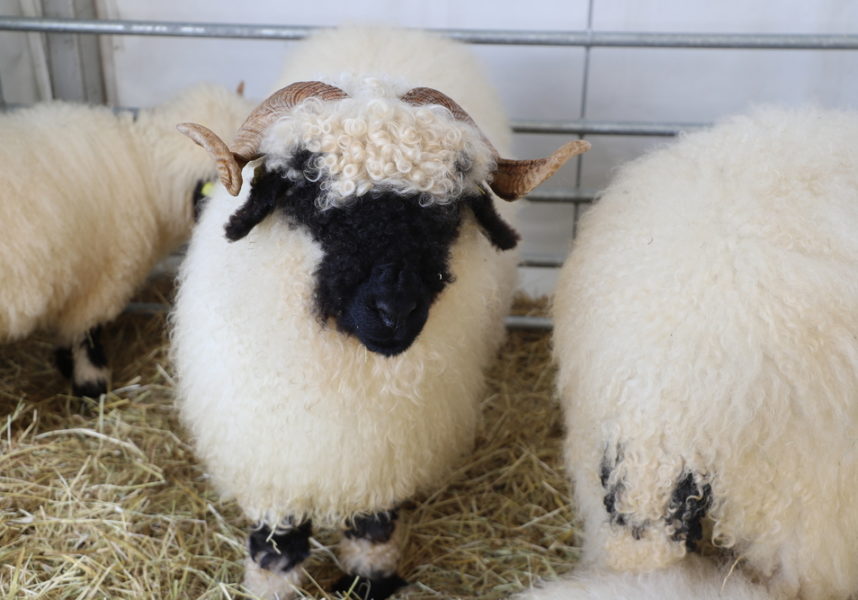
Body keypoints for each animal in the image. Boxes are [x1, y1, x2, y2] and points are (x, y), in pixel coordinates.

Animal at [174, 25, 588, 600]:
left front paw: (370, 579)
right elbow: (279, 543)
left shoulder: (385, 452)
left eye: (446, 210)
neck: (352, 374)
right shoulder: (271, 452)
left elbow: (373, 527)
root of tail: (383, 28)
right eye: (309, 192)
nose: (395, 309)